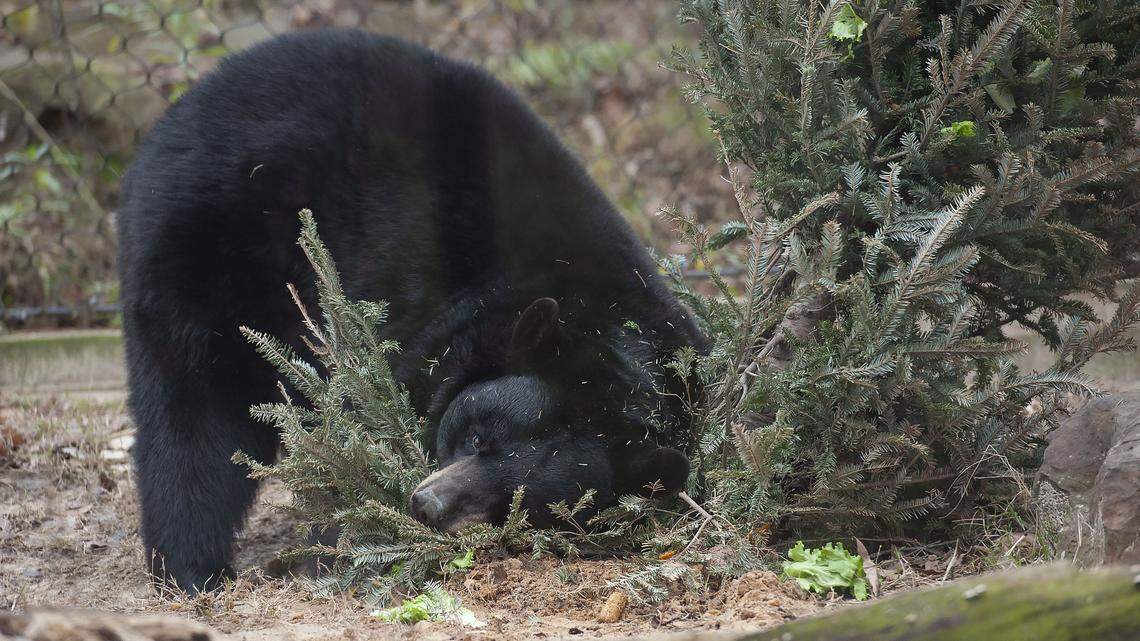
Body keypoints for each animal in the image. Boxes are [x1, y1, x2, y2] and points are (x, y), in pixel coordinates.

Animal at [117, 28, 705, 594]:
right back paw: (191, 569)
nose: (429, 504)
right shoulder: (407, 313)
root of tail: (188, 101)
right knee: (198, 400)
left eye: (518, 503)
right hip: (215, 239)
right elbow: (360, 426)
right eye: (478, 438)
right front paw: (347, 543)